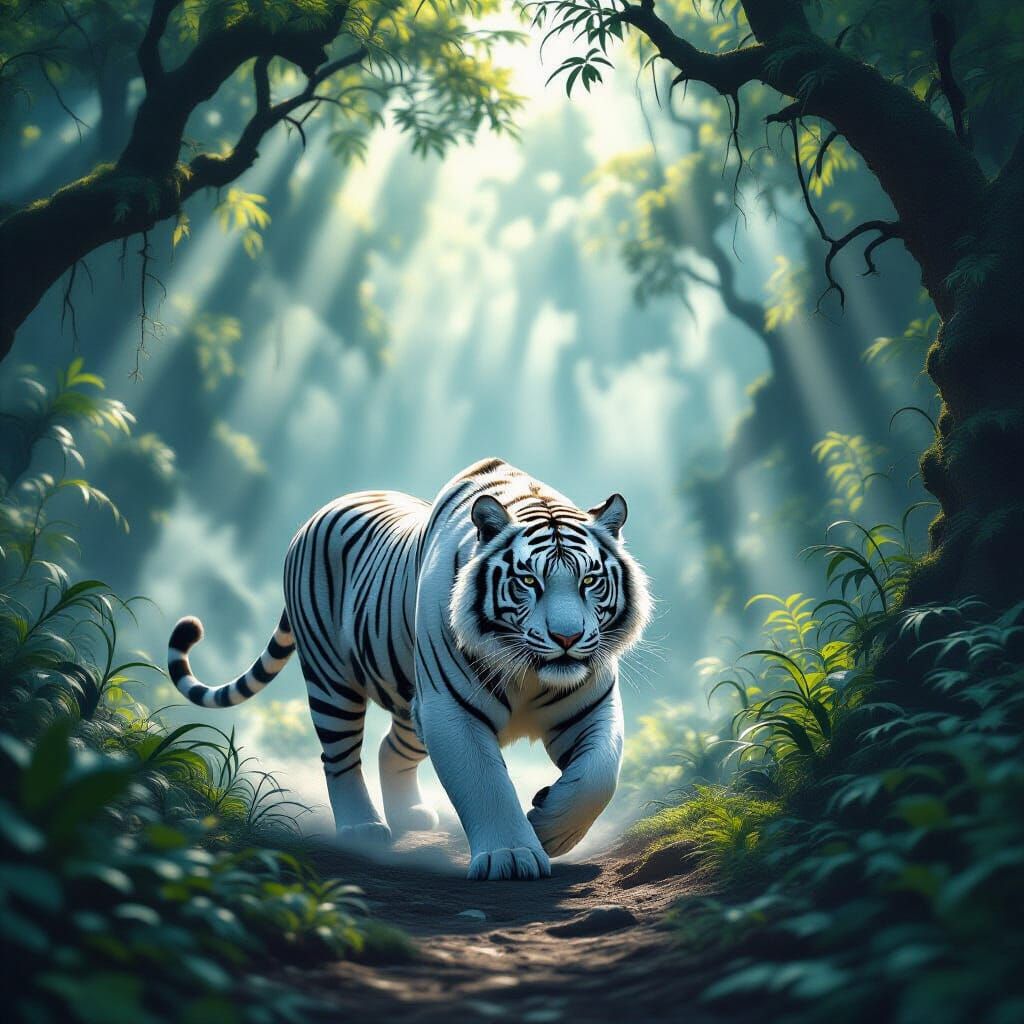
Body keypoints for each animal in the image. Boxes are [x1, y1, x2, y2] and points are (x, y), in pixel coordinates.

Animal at [167, 458, 652, 881]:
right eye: (529, 581)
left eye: (590, 580)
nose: (567, 638)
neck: (529, 675)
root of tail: (322, 509)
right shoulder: (451, 711)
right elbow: (485, 784)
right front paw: (512, 856)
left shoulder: (592, 708)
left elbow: (598, 777)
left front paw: (549, 827)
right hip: (332, 679)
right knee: (338, 755)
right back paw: (362, 828)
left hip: (412, 702)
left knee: (389, 746)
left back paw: (410, 815)